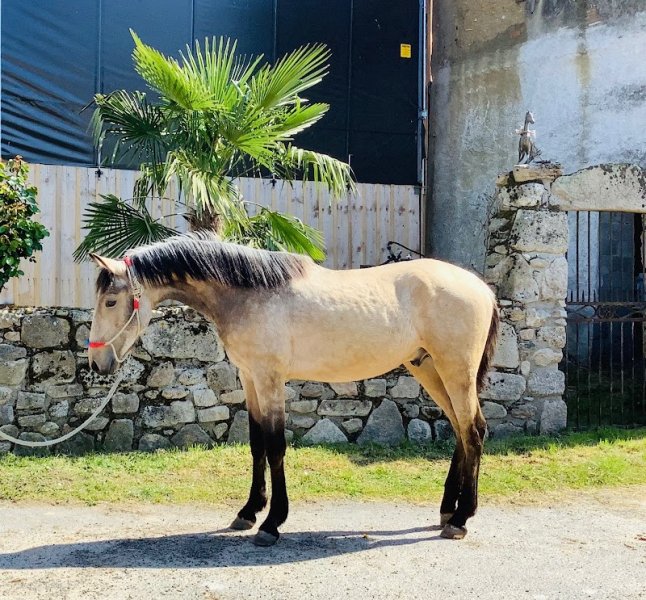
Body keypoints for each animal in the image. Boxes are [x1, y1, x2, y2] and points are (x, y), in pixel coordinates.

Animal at [88, 233, 499, 546]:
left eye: (110, 301)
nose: (97, 363)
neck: (248, 294)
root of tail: (482, 288)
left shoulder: (270, 378)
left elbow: (275, 447)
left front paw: (272, 523)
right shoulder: (250, 378)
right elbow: (256, 445)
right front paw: (248, 512)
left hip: (455, 371)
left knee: (473, 431)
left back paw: (461, 519)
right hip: (428, 368)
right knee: (461, 432)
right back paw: (447, 510)